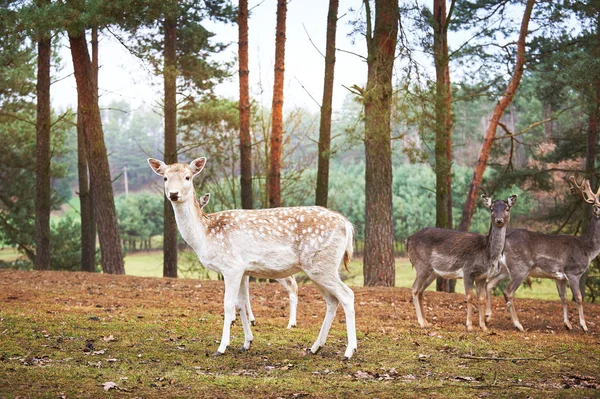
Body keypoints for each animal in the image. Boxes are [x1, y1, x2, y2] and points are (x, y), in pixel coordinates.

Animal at [148, 157, 358, 360]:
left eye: (188, 177)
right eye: (165, 178)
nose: (173, 194)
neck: (205, 237)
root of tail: (347, 225)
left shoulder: (231, 266)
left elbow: (228, 305)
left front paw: (222, 347)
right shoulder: (243, 270)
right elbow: (241, 304)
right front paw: (247, 342)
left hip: (322, 264)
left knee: (347, 295)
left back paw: (349, 351)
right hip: (319, 267)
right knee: (332, 300)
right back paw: (315, 347)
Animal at [482, 177, 600, 332]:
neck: (587, 249)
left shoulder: (559, 277)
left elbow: (563, 298)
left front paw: (567, 324)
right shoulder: (573, 271)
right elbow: (579, 298)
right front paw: (584, 326)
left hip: (504, 269)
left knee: (489, 283)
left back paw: (488, 317)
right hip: (520, 267)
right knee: (508, 291)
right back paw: (518, 325)